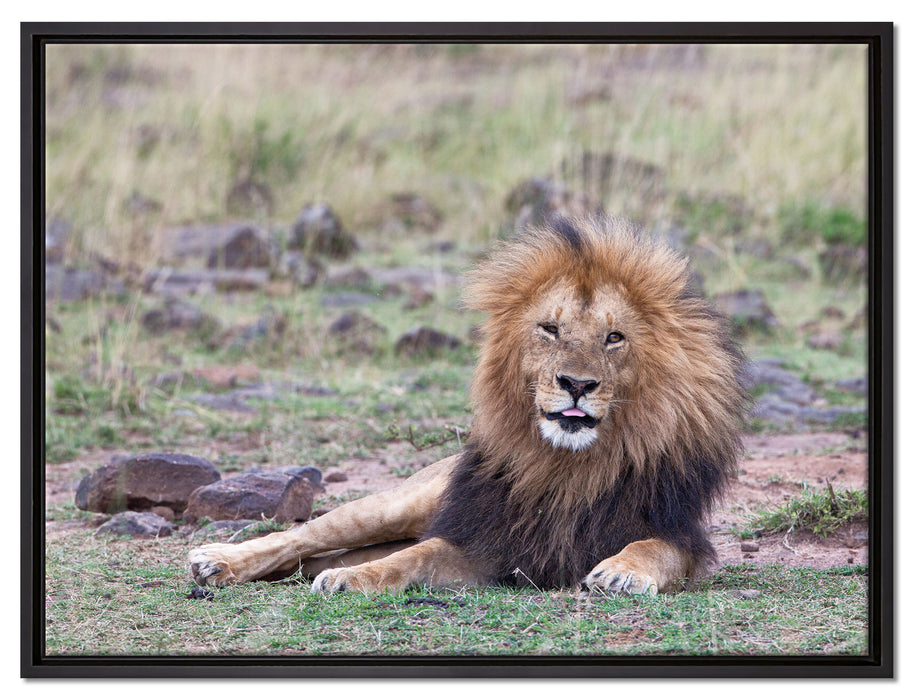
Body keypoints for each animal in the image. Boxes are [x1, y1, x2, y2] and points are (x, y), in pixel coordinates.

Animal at [189, 216, 748, 596]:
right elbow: (413, 556)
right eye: (550, 329)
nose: (576, 383)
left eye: (614, 338)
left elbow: (655, 549)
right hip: (402, 501)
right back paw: (218, 560)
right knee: (305, 535)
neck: (567, 468)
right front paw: (355, 578)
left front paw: (621, 571)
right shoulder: (485, 538)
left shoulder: (680, 533)